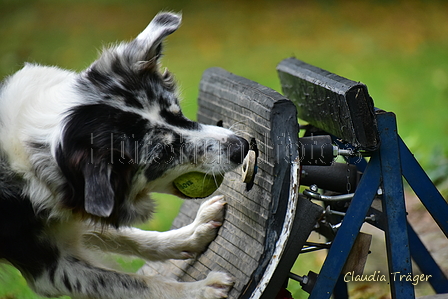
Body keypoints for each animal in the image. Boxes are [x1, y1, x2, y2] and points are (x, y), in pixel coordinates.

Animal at [0, 12, 248, 299]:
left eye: (178, 113)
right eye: (163, 154)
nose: (241, 146)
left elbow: (130, 236)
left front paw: (191, 234)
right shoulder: (49, 266)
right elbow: (134, 283)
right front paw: (199, 290)